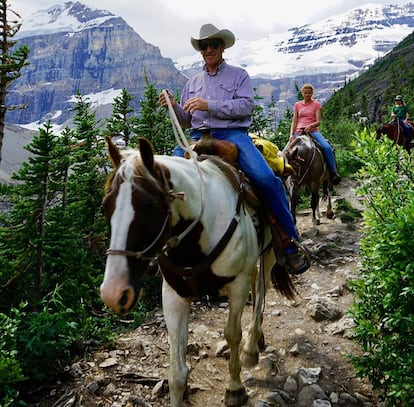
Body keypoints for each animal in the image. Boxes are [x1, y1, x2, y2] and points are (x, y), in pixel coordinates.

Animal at [100, 137, 294, 407]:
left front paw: (235, 388)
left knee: (260, 295)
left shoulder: (237, 286)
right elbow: (177, 370)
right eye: (105, 207)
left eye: (149, 207)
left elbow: (233, 334)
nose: (114, 292)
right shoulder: (173, 294)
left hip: (270, 254)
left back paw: (251, 349)